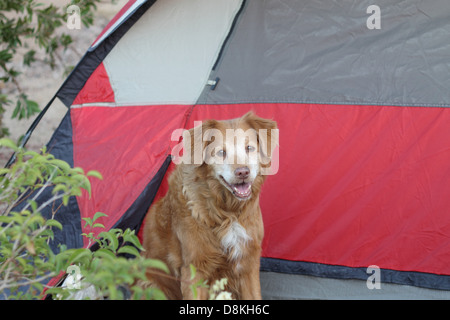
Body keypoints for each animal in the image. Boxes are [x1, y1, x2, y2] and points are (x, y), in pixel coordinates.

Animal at [142, 111, 278, 298]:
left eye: (249, 148)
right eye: (221, 152)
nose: (243, 172)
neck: (228, 212)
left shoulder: (248, 263)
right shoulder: (194, 269)